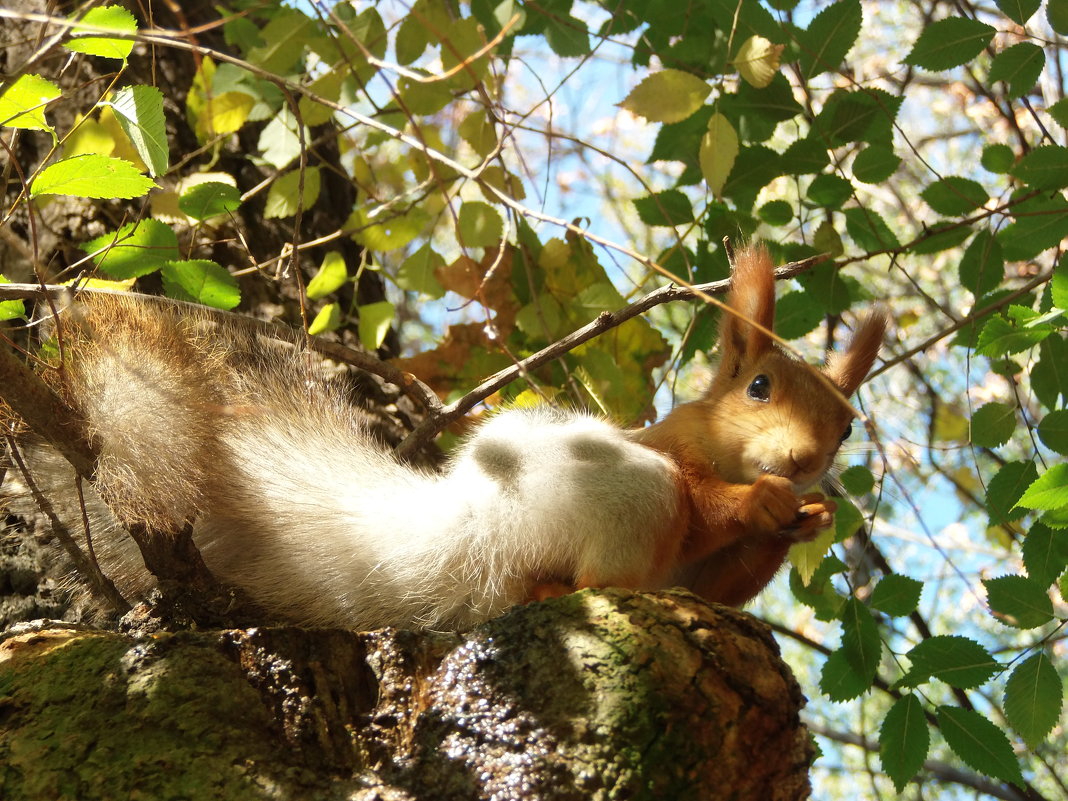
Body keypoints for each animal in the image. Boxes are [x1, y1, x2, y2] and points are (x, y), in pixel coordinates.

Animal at [2, 243, 884, 627]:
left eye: (846, 427)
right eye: (759, 385)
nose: (804, 459)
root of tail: (456, 533)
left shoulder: (709, 576)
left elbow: (723, 585)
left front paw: (810, 518)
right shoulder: (677, 454)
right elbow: (707, 499)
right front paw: (763, 498)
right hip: (619, 493)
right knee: (559, 581)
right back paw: (568, 590)